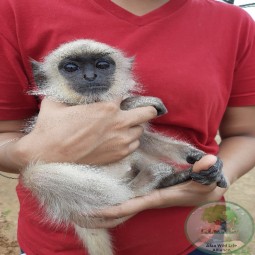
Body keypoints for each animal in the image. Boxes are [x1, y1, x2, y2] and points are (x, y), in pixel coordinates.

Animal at [21, 39, 228, 255]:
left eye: (102, 65)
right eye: (71, 68)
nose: (90, 76)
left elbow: (143, 138)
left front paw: (196, 156)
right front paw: (129, 103)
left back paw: (172, 178)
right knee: (36, 176)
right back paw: (144, 183)